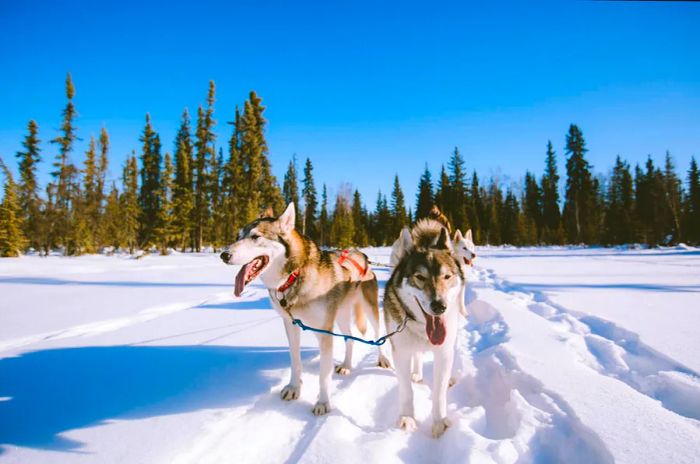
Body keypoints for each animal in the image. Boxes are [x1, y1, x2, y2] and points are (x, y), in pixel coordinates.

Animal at [221, 205, 392, 416]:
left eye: (255, 236)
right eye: (238, 236)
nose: (224, 255)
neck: (294, 275)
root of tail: (362, 254)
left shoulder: (324, 332)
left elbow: (323, 375)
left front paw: (323, 402)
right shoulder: (291, 325)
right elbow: (295, 360)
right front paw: (294, 388)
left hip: (370, 309)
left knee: (378, 335)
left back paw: (382, 359)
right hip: (341, 316)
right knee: (350, 339)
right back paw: (346, 365)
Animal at [382, 219, 464, 436]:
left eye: (447, 276)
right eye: (420, 277)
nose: (439, 306)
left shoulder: (444, 352)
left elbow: (439, 391)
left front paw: (440, 421)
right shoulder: (401, 352)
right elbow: (406, 390)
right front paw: (407, 418)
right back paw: (417, 374)